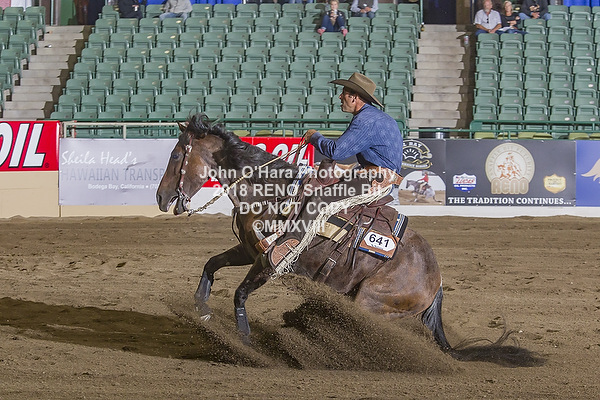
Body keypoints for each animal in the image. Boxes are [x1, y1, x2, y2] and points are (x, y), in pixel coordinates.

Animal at [156, 113, 451, 351]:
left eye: (175, 155)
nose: (161, 197)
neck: (271, 193)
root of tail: (435, 279)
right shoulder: (251, 250)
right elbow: (211, 264)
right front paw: (202, 310)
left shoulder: (270, 262)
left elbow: (239, 294)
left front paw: (245, 341)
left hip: (371, 302)